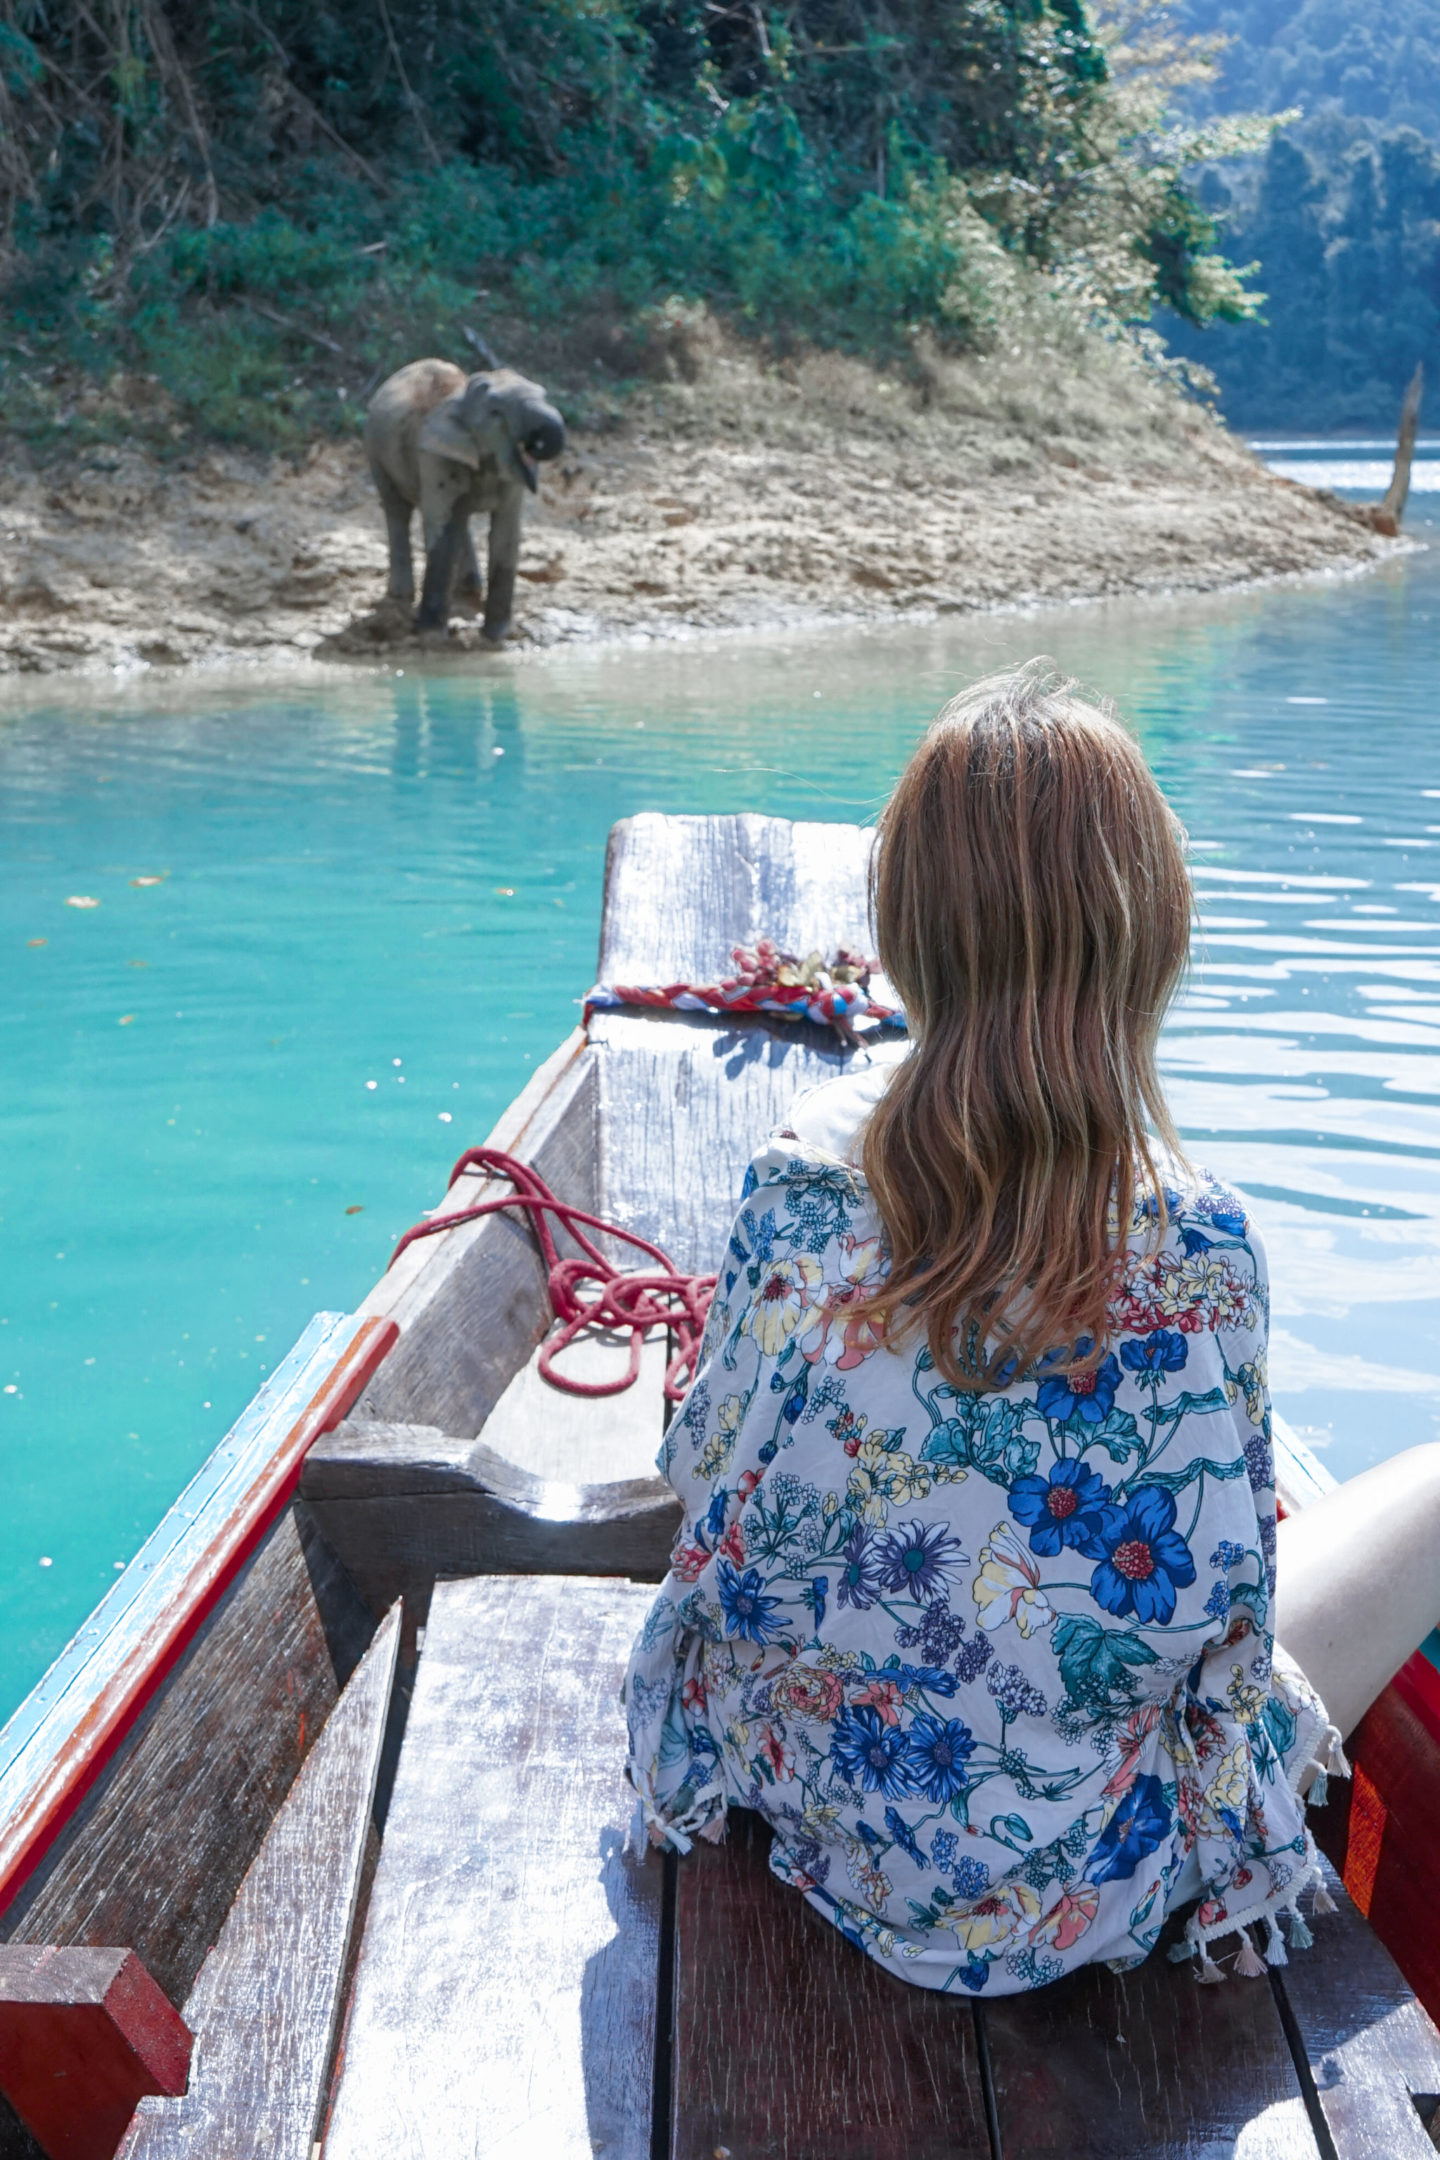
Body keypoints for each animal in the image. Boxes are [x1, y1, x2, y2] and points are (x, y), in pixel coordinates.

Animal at [362, 362, 565, 639]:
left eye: (544, 395)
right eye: (496, 413)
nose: (535, 442)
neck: (460, 400)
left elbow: (506, 533)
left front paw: (497, 637)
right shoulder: (436, 454)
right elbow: (443, 530)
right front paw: (431, 636)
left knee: (461, 520)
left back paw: (468, 590)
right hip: (375, 449)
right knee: (398, 510)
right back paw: (401, 596)